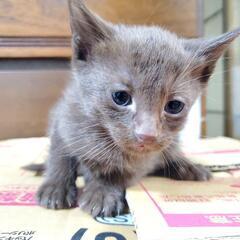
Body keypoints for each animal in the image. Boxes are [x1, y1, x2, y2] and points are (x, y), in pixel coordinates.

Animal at [36, 0, 239, 218]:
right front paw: (58, 187)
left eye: (174, 106)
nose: (147, 135)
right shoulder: (65, 115)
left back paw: (187, 166)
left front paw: (103, 188)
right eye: (121, 97)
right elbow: (61, 153)